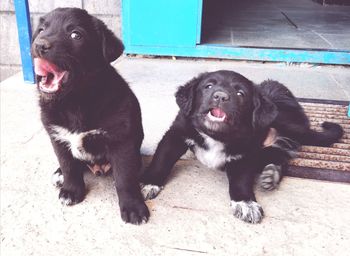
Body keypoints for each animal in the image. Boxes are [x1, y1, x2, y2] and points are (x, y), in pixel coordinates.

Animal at [31, 7, 149, 224]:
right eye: (41, 30)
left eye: (75, 35)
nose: (39, 45)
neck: (75, 101)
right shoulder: (57, 137)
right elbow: (68, 165)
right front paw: (71, 191)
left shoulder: (121, 141)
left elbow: (125, 178)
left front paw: (133, 207)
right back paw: (59, 175)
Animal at [141, 70, 344, 224]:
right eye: (208, 86)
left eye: (240, 94)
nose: (220, 96)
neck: (216, 136)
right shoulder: (177, 133)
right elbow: (162, 159)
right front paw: (148, 183)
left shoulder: (244, 154)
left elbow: (241, 180)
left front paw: (245, 203)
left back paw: (273, 173)